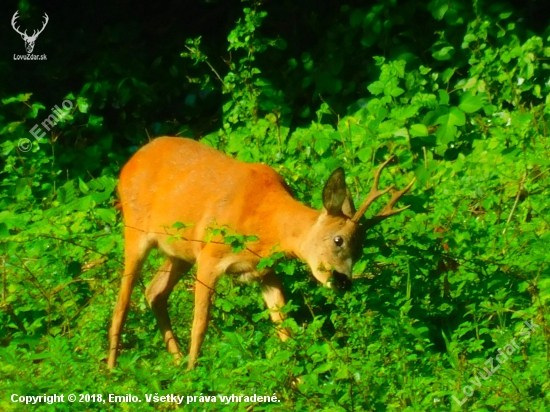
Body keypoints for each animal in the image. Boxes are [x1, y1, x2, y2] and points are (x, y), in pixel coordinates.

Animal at [108, 137, 414, 368]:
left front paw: (299, 379)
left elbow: (284, 328)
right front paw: (194, 374)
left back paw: (176, 360)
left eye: (361, 249)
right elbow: (200, 324)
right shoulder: (211, 255)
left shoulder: (265, 270)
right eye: (339, 240)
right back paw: (114, 369)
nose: (342, 281)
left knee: (154, 292)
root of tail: (128, 164)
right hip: (134, 229)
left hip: (179, 252)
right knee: (123, 301)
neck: (269, 224)